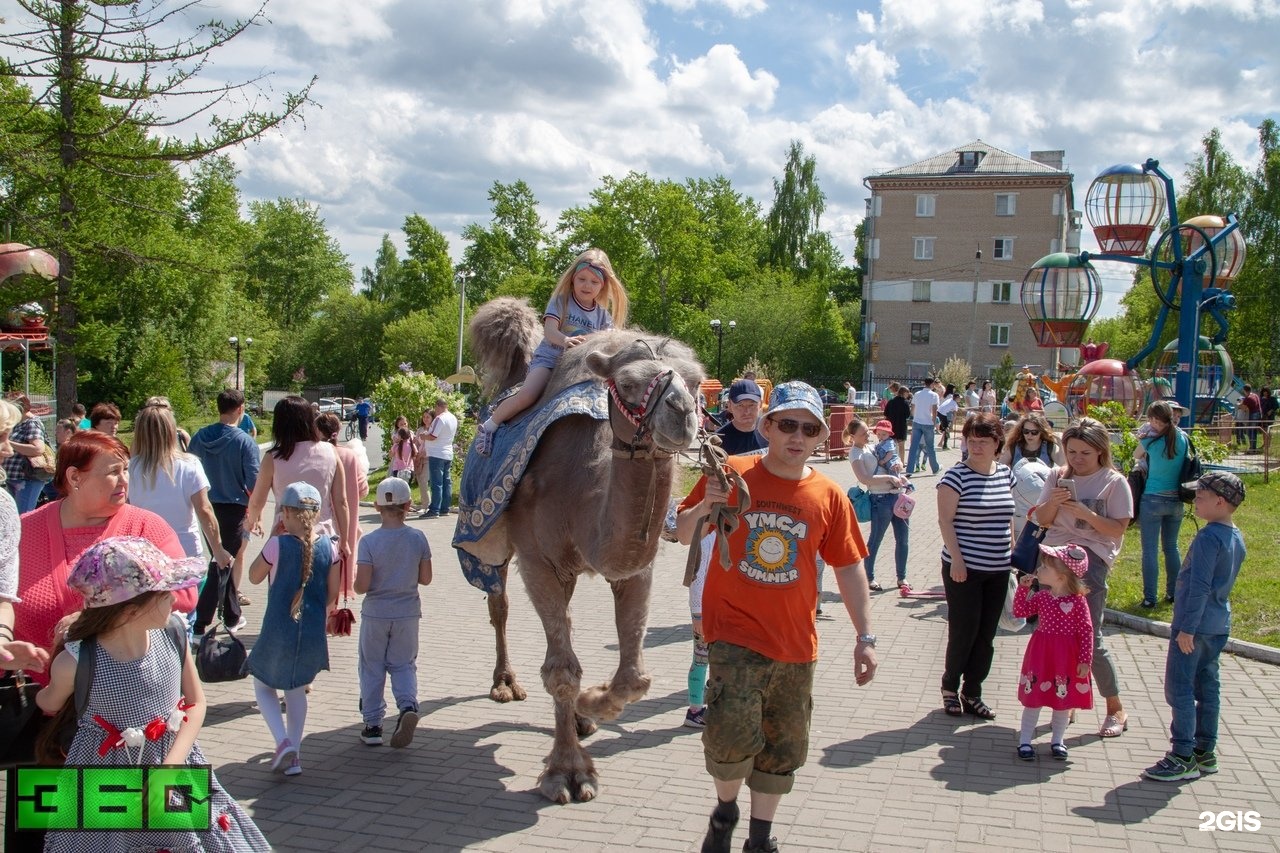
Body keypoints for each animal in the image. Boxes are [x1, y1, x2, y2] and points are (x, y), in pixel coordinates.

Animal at [471, 295, 706, 799]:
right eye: (629, 384)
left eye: (697, 381)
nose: (681, 413)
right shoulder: (539, 561)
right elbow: (561, 671)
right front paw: (568, 773)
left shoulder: (636, 567)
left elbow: (634, 676)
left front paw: (593, 704)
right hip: (497, 548)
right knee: (499, 605)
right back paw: (505, 684)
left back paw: (578, 719)